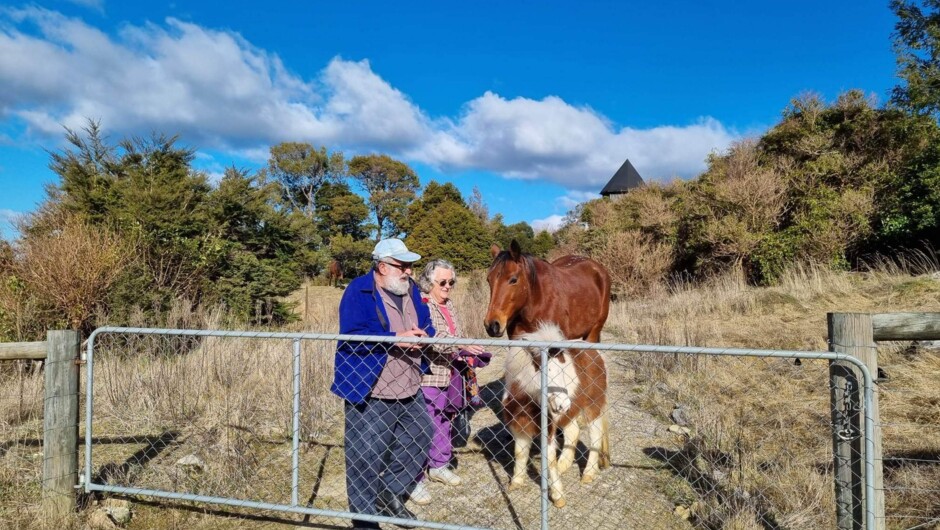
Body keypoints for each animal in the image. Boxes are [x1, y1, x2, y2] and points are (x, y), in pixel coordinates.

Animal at [502, 323, 610, 508]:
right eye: (545, 370)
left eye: (562, 371)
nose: (562, 404)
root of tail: (597, 353)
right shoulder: (520, 426)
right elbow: (520, 453)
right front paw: (516, 482)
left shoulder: (548, 430)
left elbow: (549, 459)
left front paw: (558, 497)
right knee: (573, 433)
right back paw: (564, 465)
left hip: (592, 406)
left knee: (595, 435)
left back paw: (588, 473)